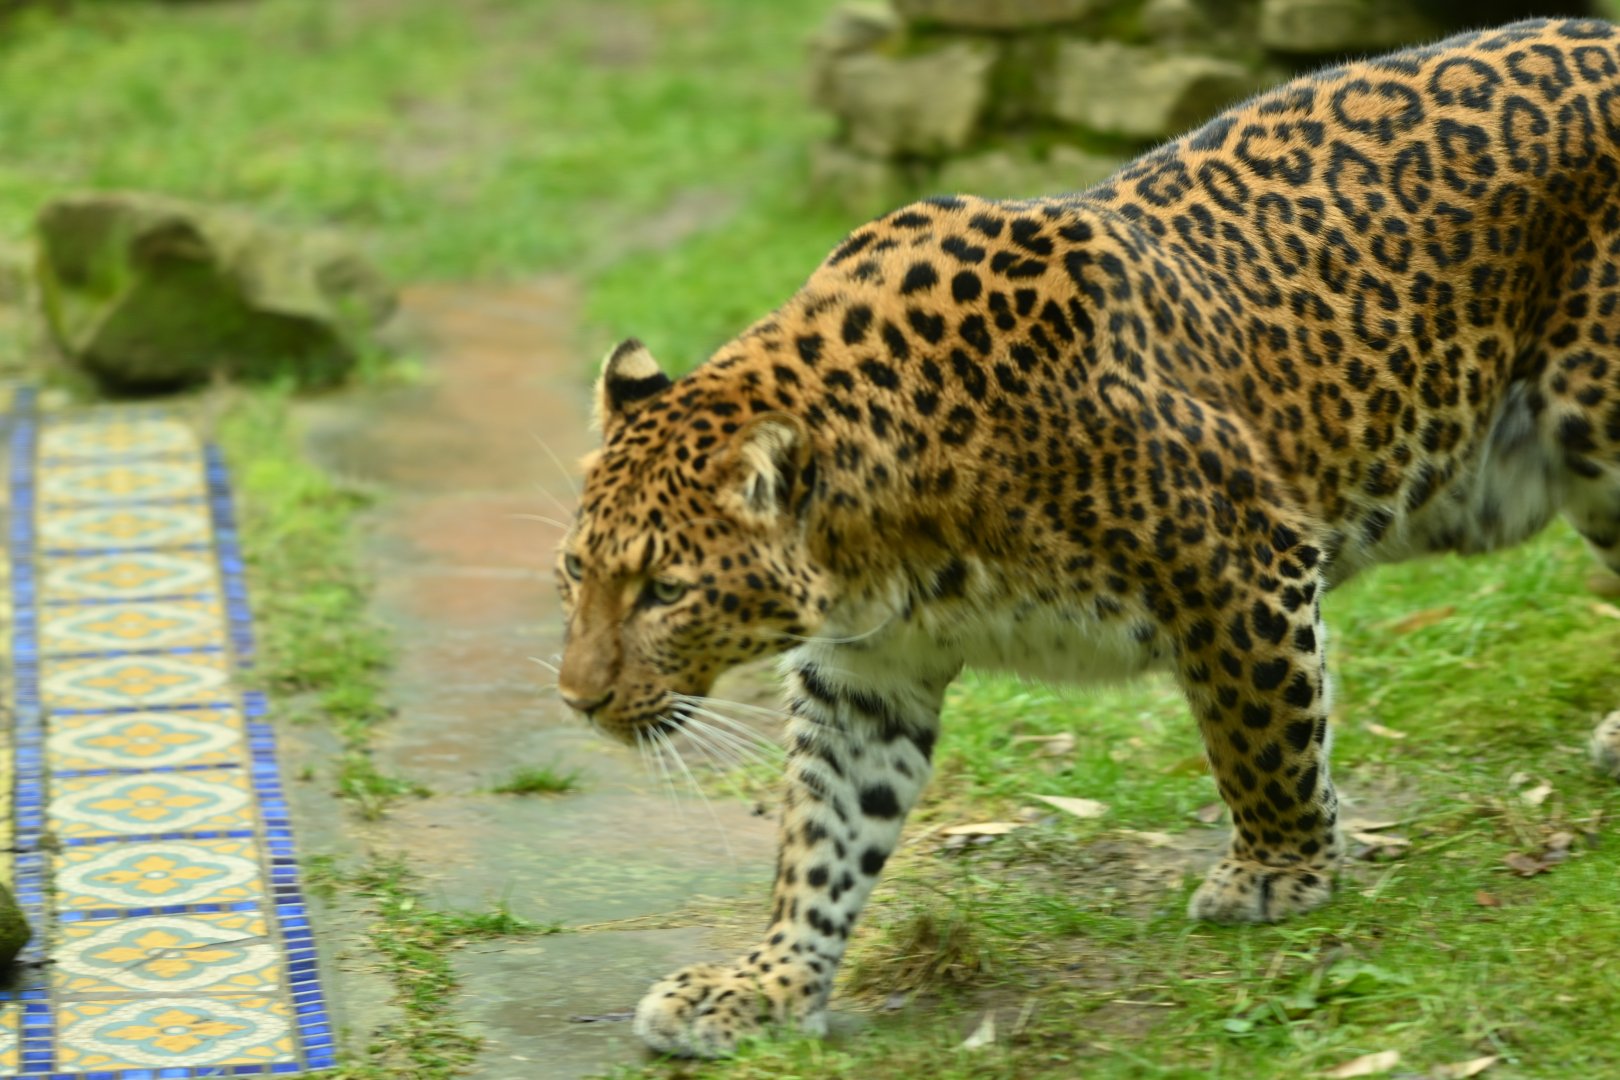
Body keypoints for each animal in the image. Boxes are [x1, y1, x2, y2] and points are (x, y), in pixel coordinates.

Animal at [555, 18, 1620, 1058]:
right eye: (574, 572)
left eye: (664, 591)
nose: (576, 700)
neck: (887, 534)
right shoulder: (866, 673)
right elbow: (827, 835)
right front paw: (766, 983)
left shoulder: (1241, 565)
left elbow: (1261, 737)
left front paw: (1278, 873)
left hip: (1595, 423)